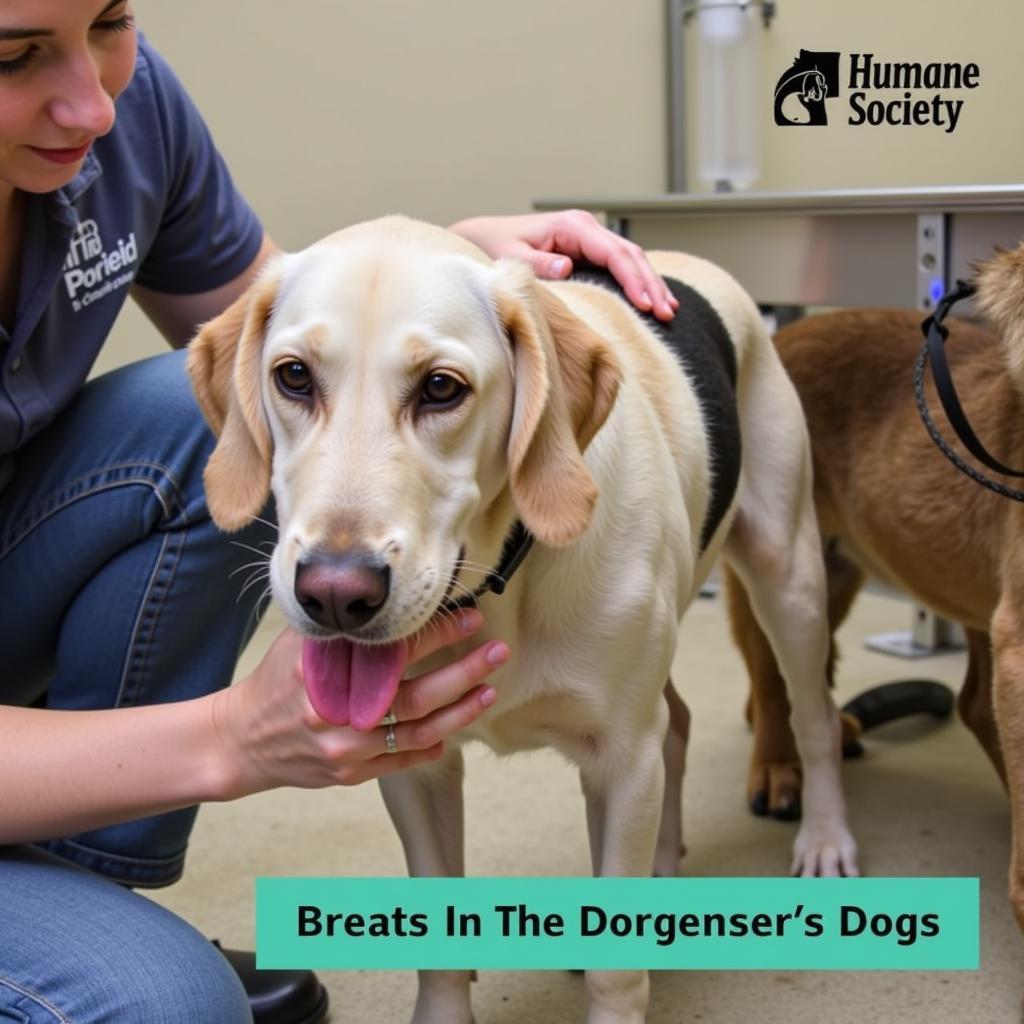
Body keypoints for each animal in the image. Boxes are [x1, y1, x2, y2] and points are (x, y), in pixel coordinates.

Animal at [186, 218, 856, 1024]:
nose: (336, 595)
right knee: (681, 725)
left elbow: (615, 972)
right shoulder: (418, 769)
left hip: (788, 581)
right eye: (293, 377)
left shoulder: (623, 762)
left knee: (815, 717)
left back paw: (825, 838)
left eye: (441, 387)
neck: (499, 581)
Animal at [724, 243, 1024, 933]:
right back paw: (779, 769)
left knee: (965, 702)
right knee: (771, 685)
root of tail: (779, 336)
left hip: (844, 579)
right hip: (774, 569)